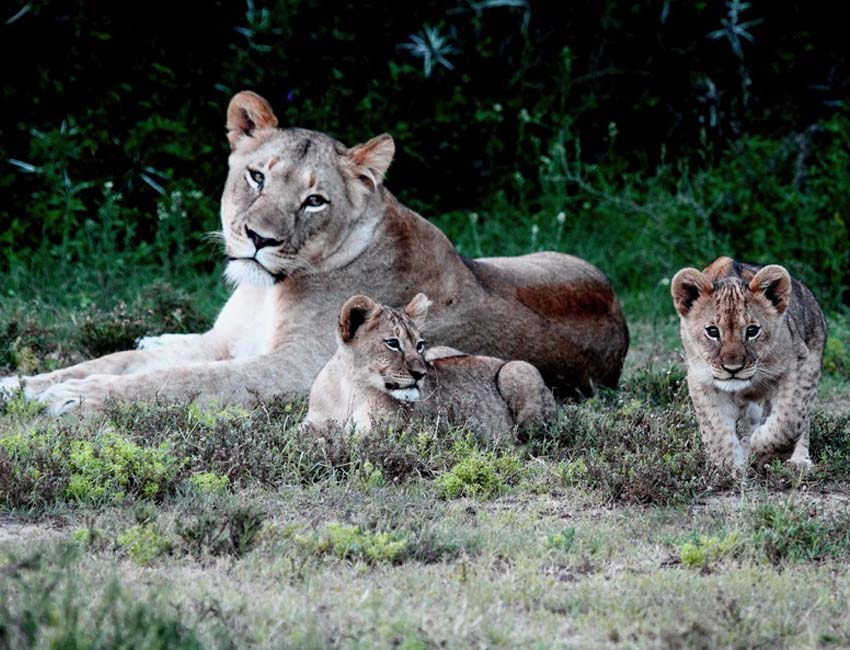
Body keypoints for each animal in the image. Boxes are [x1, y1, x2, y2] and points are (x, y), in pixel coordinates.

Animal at [0, 90, 628, 414]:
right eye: (256, 175)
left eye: (314, 201)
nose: (258, 239)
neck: (266, 293)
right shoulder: (225, 342)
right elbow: (110, 361)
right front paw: (21, 386)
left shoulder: (296, 370)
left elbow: (180, 381)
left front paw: (73, 401)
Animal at [302, 293, 556, 443]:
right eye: (392, 343)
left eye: (419, 345)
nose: (421, 374)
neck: (351, 389)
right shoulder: (311, 423)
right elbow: (306, 436)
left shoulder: (385, 435)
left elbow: (338, 442)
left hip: (518, 369)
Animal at [671, 256, 827, 473]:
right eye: (712, 331)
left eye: (752, 331)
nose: (732, 369)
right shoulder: (701, 379)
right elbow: (715, 430)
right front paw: (729, 468)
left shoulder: (800, 365)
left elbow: (790, 419)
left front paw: (762, 450)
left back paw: (798, 460)